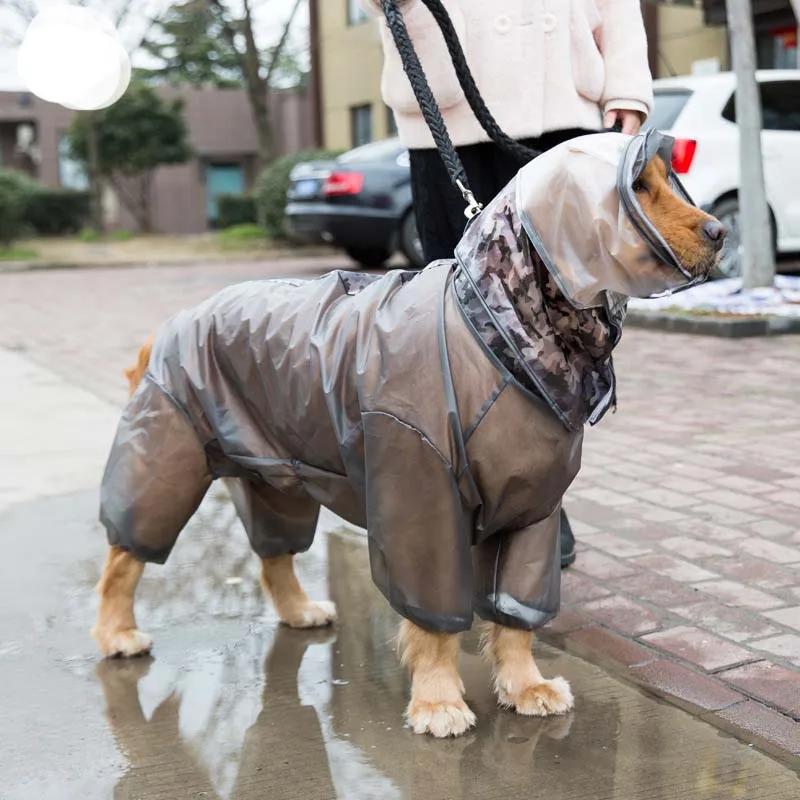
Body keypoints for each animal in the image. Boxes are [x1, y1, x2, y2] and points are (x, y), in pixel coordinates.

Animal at [92, 144, 724, 736]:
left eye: (668, 180)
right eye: (637, 186)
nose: (720, 232)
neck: (496, 331)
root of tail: (174, 321)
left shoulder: (534, 504)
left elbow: (514, 614)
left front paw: (526, 686)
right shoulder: (420, 486)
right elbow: (433, 618)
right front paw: (438, 700)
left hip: (278, 473)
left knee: (274, 556)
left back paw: (299, 610)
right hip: (166, 454)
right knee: (124, 558)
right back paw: (118, 633)